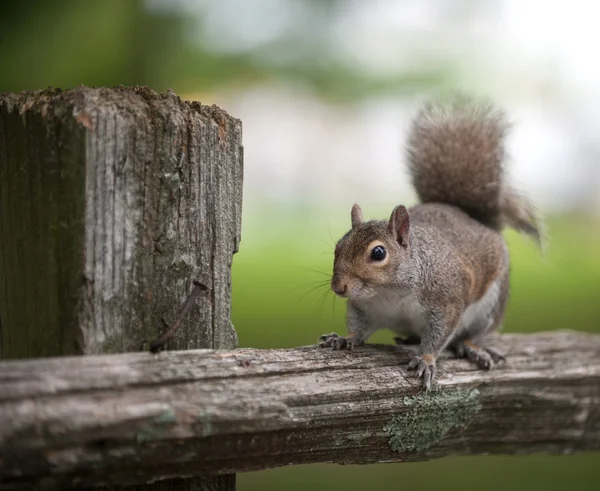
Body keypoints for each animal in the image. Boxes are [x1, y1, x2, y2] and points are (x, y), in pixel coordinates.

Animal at [318, 94, 544, 390]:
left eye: (378, 253)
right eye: (338, 247)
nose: (338, 286)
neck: (388, 294)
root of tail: (472, 219)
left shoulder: (446, 302)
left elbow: (439, 335)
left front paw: (425, 361)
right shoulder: (364, 308)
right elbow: (358, 327)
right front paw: (344, 338)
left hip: (490, 305)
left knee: (471, 334)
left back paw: (472, 347)